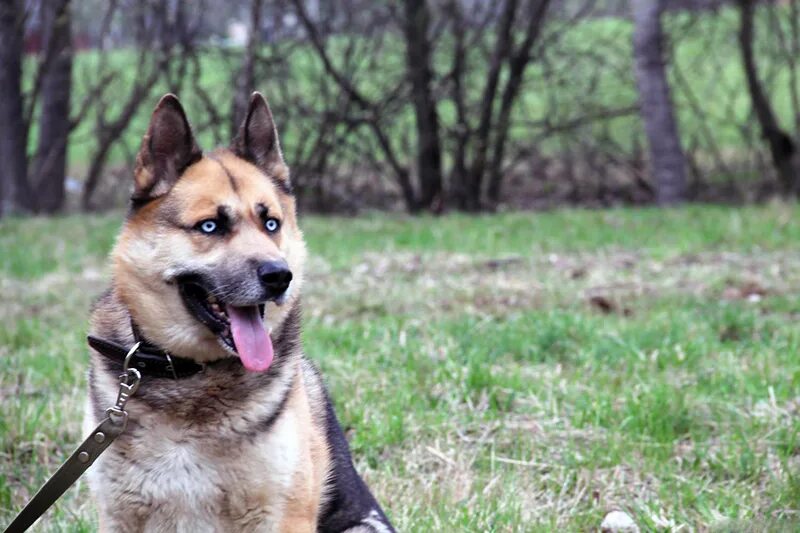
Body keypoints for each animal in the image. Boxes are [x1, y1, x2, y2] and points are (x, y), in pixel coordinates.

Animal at [82, 93, 394, 528]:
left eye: (271, 224)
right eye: (210, 226)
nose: (280, 276)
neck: (191, 375)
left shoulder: (283, 515)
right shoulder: (120, 517)